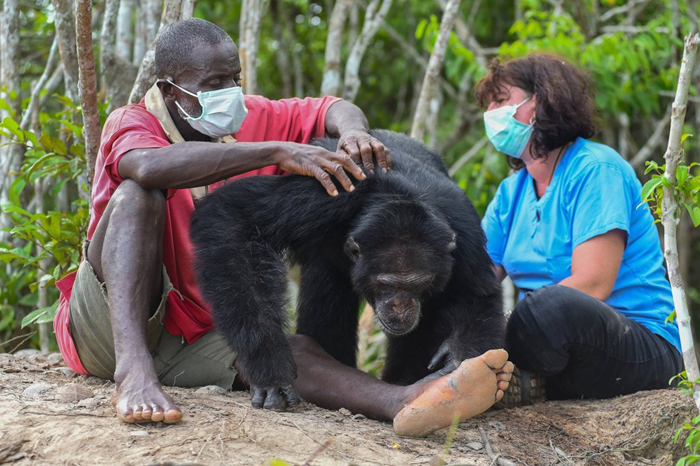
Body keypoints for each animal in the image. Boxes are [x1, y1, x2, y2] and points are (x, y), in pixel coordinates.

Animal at [189, 129, 506, 410]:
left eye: (418, 283)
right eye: (385, 283)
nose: (401, 306)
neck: (402, 194)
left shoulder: (462, 230)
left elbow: (476, 294)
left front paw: (459, 358)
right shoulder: (323, 194)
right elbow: (234, 217)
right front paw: (270, 367)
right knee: (327, 292)